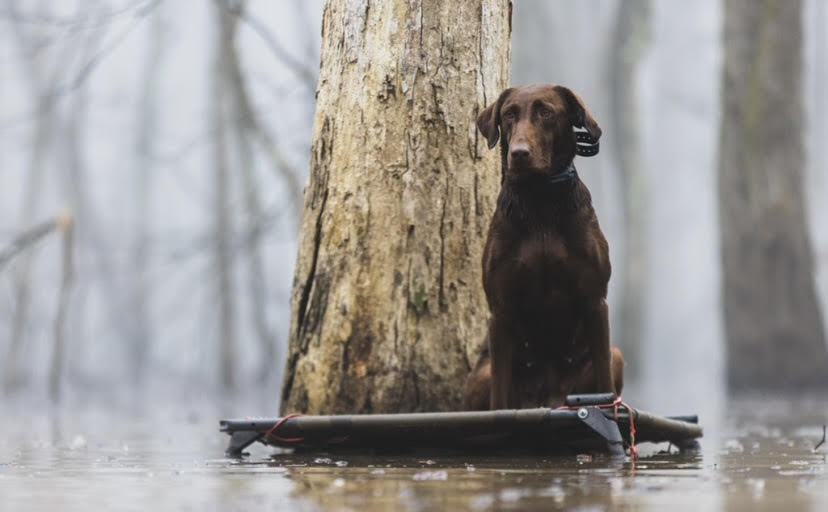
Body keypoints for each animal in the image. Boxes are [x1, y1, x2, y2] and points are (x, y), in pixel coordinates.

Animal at [462, 85, 624, 412]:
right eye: (509, 114)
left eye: (546, 112)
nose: (519, 153)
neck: (540, 202)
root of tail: (547, 400)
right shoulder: (500, 309)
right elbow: (499, 398)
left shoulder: (595, 300)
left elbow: (605, 385)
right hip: (482, 374)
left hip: (617, 356)